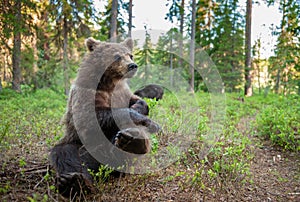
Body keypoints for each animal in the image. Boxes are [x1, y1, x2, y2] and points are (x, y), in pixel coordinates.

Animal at [50, 37, 161, 197]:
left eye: (130, 55)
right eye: (117, 56)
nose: (132, 66)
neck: (109, 82)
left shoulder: (122, 92)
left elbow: (139, 102)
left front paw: (144, 114)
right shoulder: (87, 94)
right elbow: (90, 117)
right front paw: (147, 120)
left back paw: (132, 142)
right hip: (79, 145)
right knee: (66, 153)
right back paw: (73, 182)